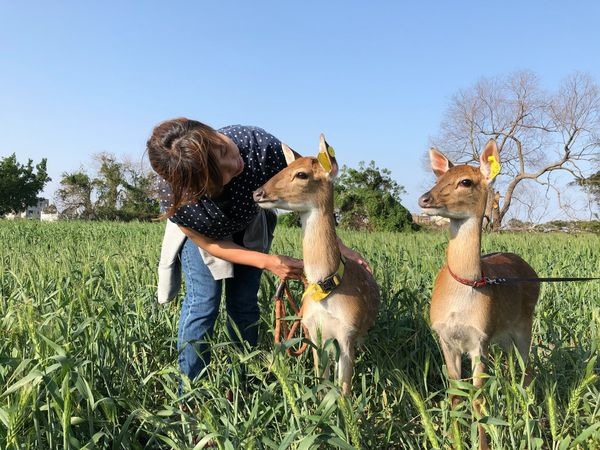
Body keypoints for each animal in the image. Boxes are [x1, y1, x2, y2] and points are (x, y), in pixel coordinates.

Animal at [252, 135, 380, 396]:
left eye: (301, 174)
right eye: (282, 168)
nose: (257, 193)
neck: (327, 288)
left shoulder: (347, 332)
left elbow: (344, 389)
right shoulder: (314, 332)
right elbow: (322, 382)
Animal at [418, 139, 540, 448]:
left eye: (466, 181)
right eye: (439, 178)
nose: (425, 199)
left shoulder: (479, 341)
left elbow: (479, 400)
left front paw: (481, 441)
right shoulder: (445, 339)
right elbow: (454, 395)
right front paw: (454, 440)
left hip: (525, 327)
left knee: (527, 373)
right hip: (504, 338)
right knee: (513, 371)